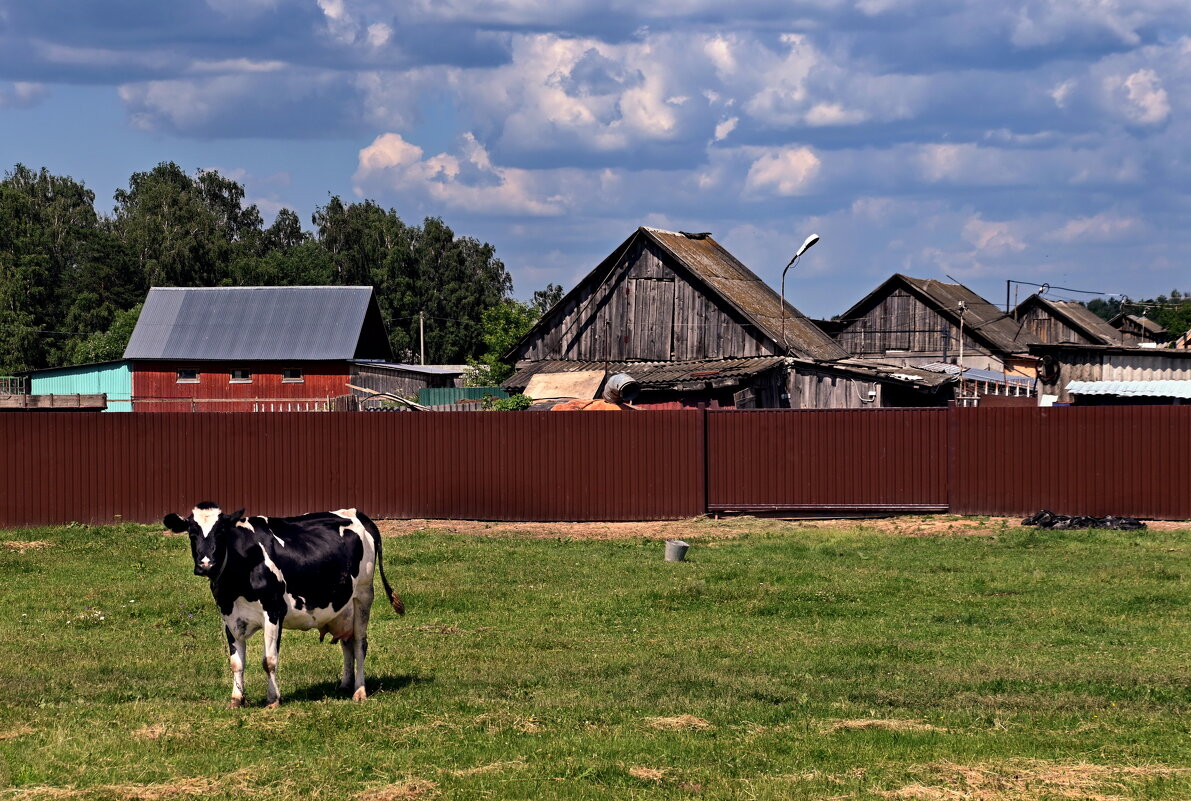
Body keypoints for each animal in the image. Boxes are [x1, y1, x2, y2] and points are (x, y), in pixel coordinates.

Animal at [163, 502, 407, 709]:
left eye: (221, 532)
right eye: (192, 533)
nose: (206, 565)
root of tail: (357, 513)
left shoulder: (273, 611)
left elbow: (269, 661)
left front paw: (273, 700)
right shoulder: (230, 617)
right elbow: (236, 663)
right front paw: (237, 699)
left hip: (363, 596)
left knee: (359, 644)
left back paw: (360, 690)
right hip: (342, 606)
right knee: (346, 644)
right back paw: (345, 685)